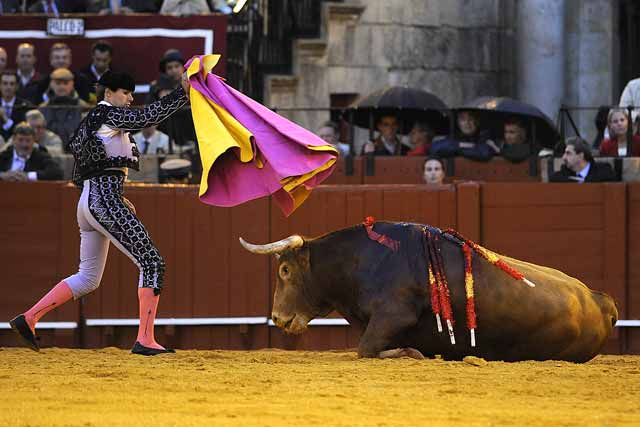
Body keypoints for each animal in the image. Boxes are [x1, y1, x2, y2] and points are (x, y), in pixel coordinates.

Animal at [239, 222, 616, 362]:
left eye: (285, 271)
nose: (277, 317)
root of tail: (601, 301)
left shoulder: (394, 315)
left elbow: (365, 349)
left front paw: (412, 352)